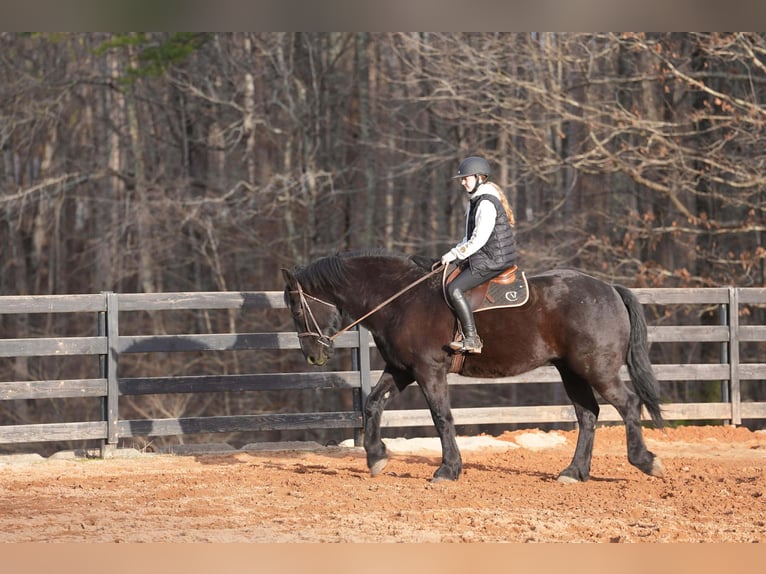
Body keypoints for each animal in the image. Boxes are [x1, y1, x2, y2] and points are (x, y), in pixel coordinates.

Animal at [282, 249, 664, 483]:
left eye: (297, 309)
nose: (313, 355)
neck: (402, 298)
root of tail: (609, 289)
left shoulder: (428, 370)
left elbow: (441, 418)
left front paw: (448, 469)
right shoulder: (402, 369)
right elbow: (372, 404)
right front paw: (376, 457)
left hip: (595, 368)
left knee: (628, 404)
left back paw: (644, 460)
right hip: (571, 370)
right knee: (588, 415)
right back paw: (574, 471)